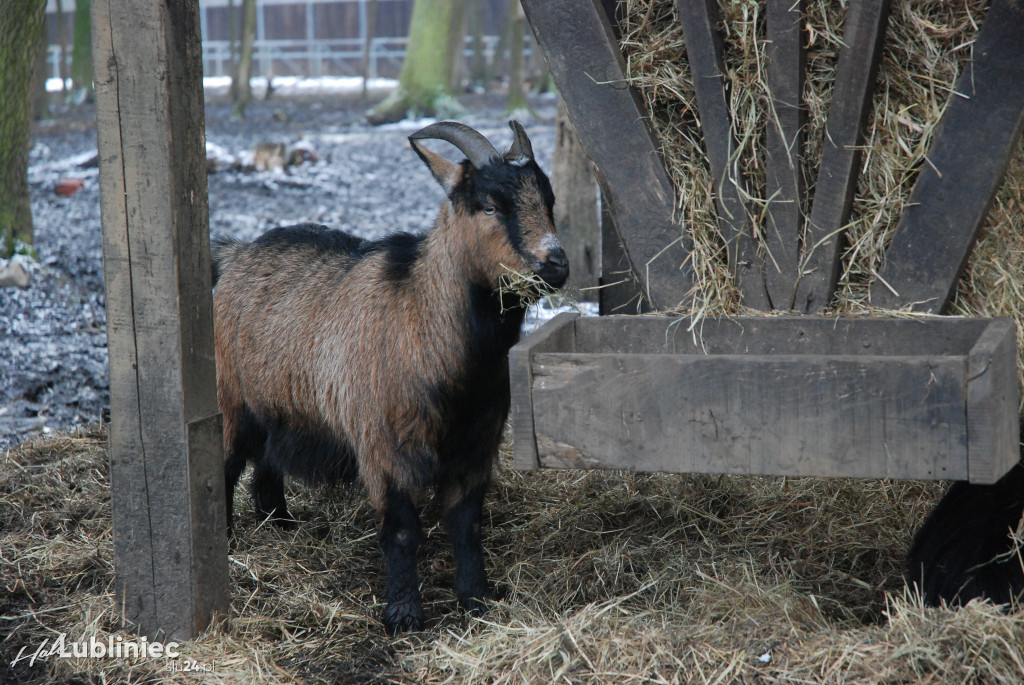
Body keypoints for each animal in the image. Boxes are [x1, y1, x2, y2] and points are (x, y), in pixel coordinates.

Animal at [214, 120, 569, 634]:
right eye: (489, 205)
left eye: (548, 199)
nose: (555, 264)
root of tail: (237, 253)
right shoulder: (385, 446)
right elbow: (402, 531)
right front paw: (404, 615)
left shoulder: (477, 447)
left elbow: (467, 524)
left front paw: (476, 599)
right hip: (230, 400)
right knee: (221, 469)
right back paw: (225, 542)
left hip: (282, 406)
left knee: (266, 466)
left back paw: (280, 524)